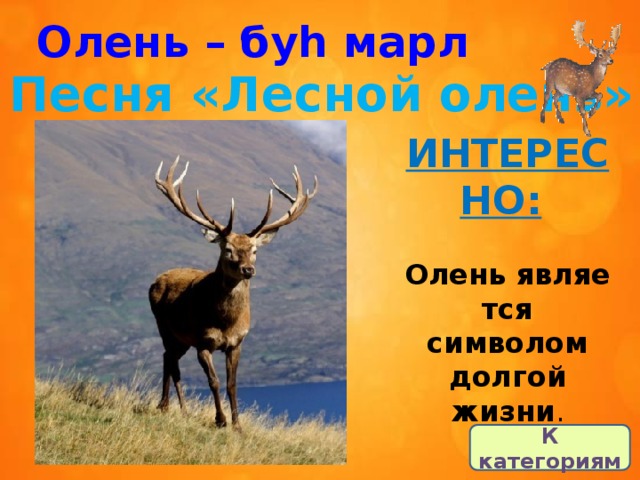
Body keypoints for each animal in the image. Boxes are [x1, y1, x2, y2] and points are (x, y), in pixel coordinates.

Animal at [149, 156, 317, 431]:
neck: (226, 322)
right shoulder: (202, 341)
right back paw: (167, 406)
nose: (248, 269)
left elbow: (231, 383)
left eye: (254, 250)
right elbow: (214, 381)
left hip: (181, 338)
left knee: (169, 359)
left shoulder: (237, 343)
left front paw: (237, 425)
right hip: (165, 328)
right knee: (170, 360)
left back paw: (176, 408)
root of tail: (156, 280)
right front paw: (220, 420)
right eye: (227, 249)